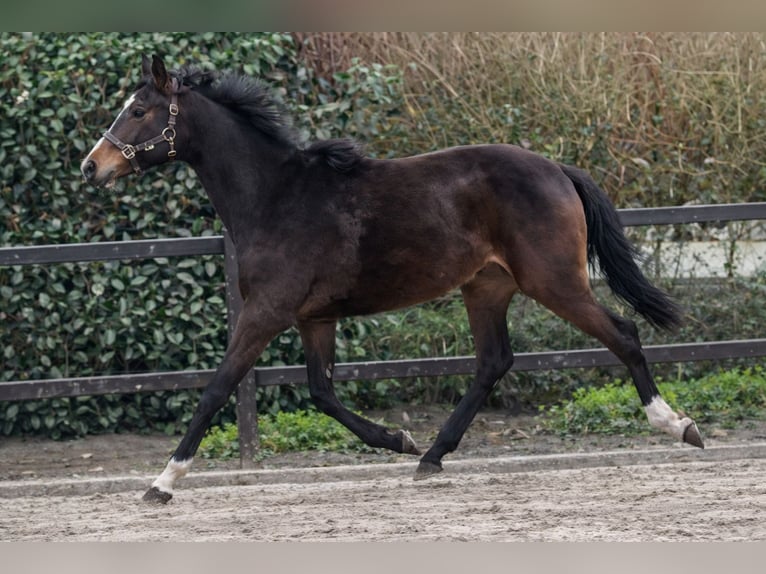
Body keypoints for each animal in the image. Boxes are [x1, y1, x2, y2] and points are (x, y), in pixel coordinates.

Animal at [81, 55, 703, 504]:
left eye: (139, 110)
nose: (92, 167)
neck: (276, 197)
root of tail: (558, 169)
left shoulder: (265, 315)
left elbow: (217, 389)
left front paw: (162, 483)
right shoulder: (314, 318)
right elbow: (322, 393)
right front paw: (398, 439)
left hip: (554, 281)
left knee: (622, 334)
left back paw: (678, 426)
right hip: (487, 287)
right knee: (493, 362)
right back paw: (431, 456)